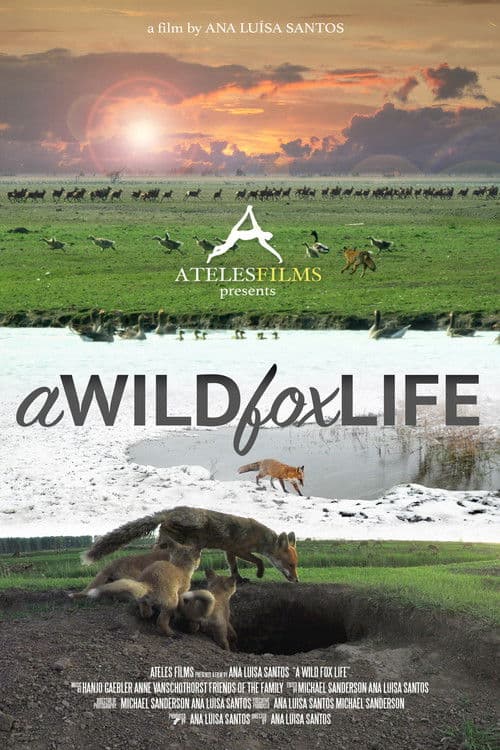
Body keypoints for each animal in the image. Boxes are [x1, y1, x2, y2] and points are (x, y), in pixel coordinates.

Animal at [82, 506, 299, 584]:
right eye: (290, 565)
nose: (297, 580)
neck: (259, 536)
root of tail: (170, 512)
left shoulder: (229, 550)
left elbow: (233, 567)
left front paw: (239, 579)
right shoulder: (240, 549)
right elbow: (259, 561)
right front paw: (260, 573)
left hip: (172, 543)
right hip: (192, 534)